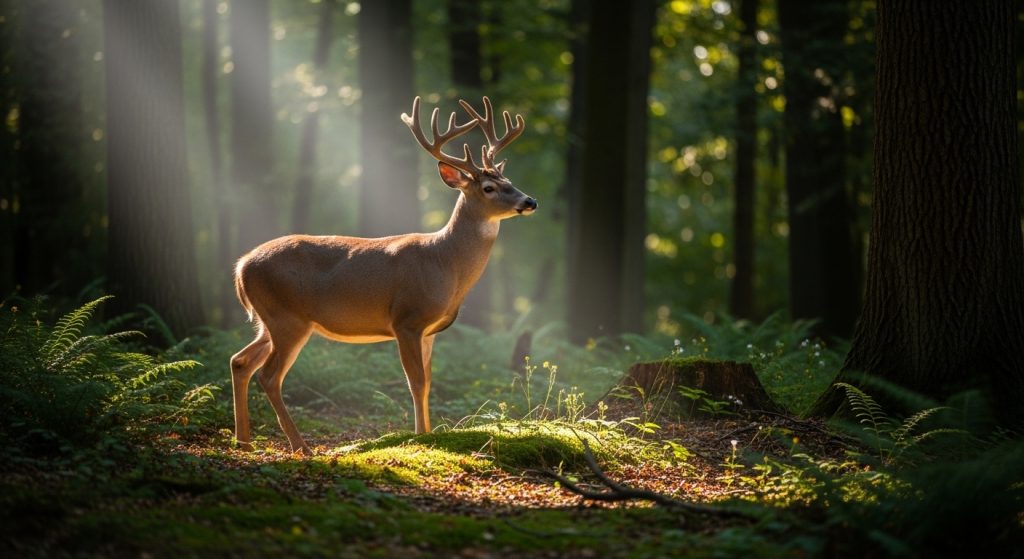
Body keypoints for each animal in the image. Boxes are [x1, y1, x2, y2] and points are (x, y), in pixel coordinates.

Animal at [229, 96, 536, 454]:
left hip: (269, 319)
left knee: (240, 361)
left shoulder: (430, 330)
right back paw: (300, 446)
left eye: (509, 181)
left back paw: (244, 440)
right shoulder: (406, 319)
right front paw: (421, 436)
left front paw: (428, 431)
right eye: (488, 187)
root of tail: (241, 266)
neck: (445, 262)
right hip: (288, 317)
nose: (530, 200)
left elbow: (428, 381)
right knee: (269, 375)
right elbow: (416, 381)